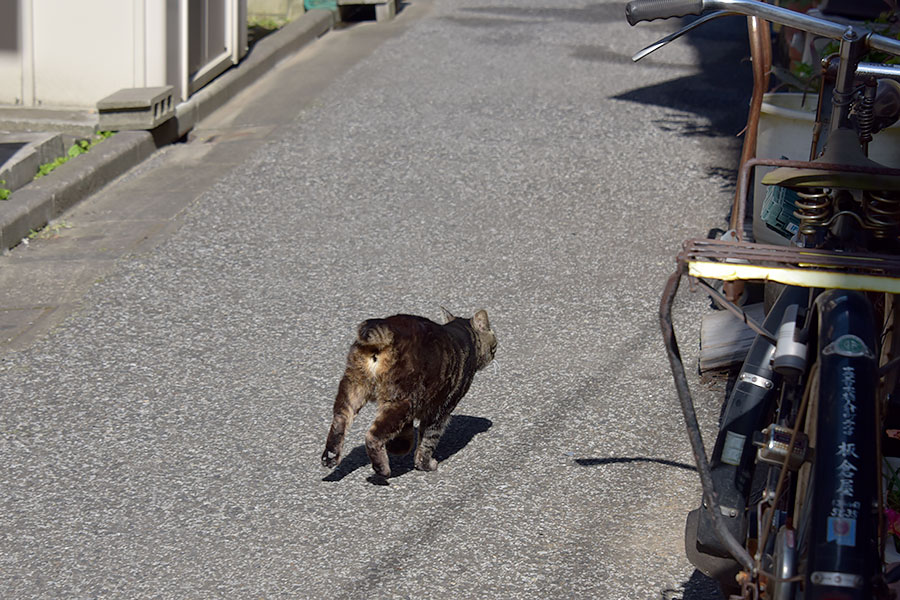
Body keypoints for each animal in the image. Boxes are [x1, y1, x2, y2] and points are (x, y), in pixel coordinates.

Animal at [320, 310, 496, 478]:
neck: (463, 337)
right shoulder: (440, 411)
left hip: (353, 388)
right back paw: (382, 469)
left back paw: (330, 456)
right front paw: (425, 465)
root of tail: (387, 327)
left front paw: (398, 447)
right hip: (402, 401)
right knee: (372, 435)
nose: (494, 353)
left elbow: (407, 433)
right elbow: (427, 442)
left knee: (340, 420)